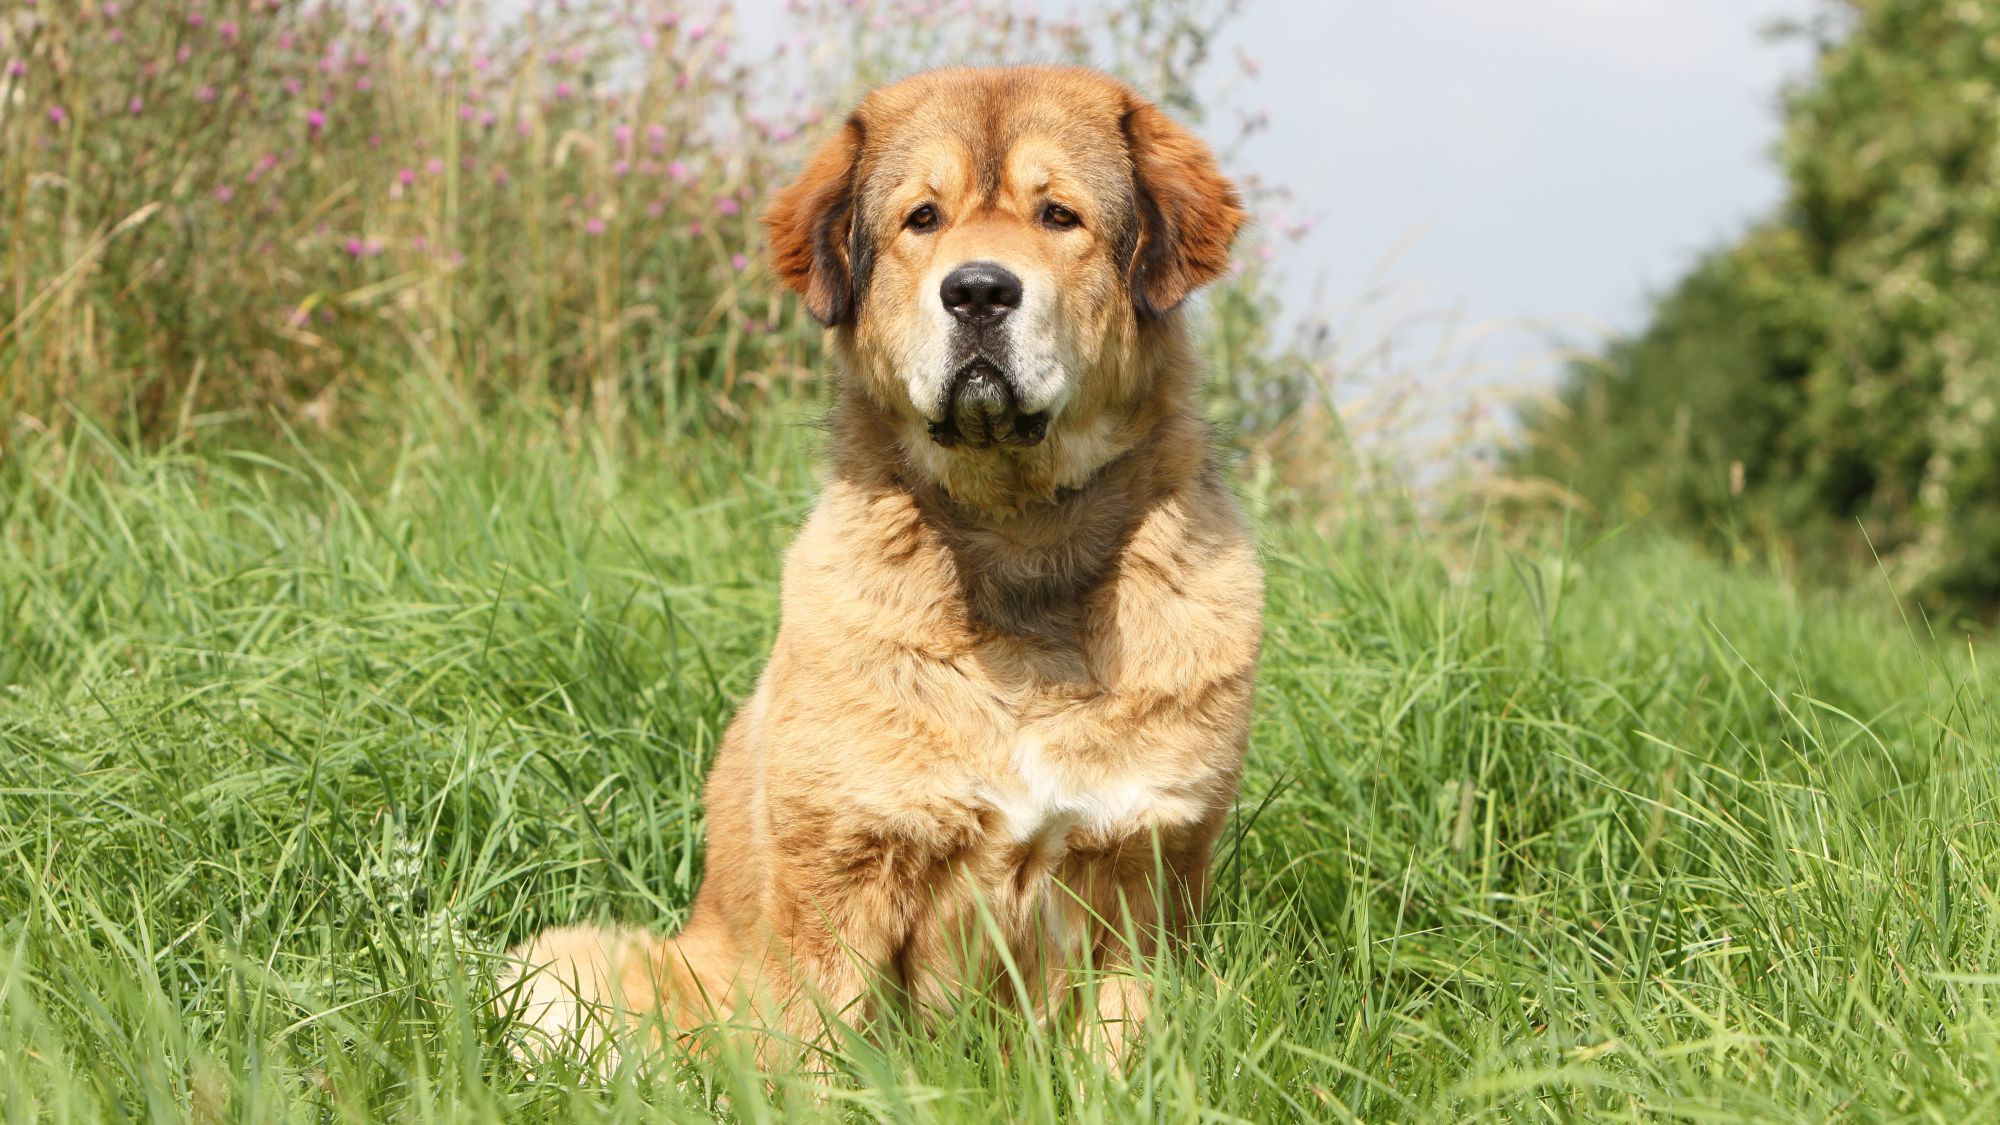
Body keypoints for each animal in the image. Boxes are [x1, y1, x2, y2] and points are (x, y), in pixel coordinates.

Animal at [500, 65, 1256, 1064]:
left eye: (1059, 215)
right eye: (921, 219)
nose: (979, 291)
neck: (1013, 537)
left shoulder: (1144, 875)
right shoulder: (844, 872)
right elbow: (821, 1054)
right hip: (563, 967)